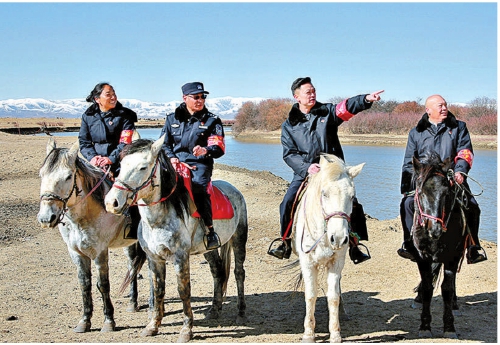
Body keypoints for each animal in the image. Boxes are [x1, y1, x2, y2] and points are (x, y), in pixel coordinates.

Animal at [36, 138, 146, 332]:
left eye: (68, 176)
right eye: (42, 174)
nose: (46, 218)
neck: (81, 219)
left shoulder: (100, 252)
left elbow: (103, 284)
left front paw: (109, 321)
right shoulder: (76, 253)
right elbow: (84, 284)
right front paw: (85, 320)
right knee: (132, 266)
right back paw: (133, 303)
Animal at [103, 136, 248, 340]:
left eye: (143, 167)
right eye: (121, 166)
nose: (111, 202)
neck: (158, 220)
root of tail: (234, 190)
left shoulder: (180, 257)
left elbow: (183, 290)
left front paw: (186, 330)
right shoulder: (154, 258)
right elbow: (158, 290)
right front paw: (152, 326)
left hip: (239, 238)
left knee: (238, 273)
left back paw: (241, 313)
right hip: (208, 249)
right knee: (218, 272)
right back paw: (214, 309)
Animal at [292, 153, 364, 342]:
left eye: (352, 196)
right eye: (324, 194)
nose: (338, 238)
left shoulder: (337, 262)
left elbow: (333, 297)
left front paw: (335, 334)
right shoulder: (308, 263)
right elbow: (311, 295)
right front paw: (308, 334)